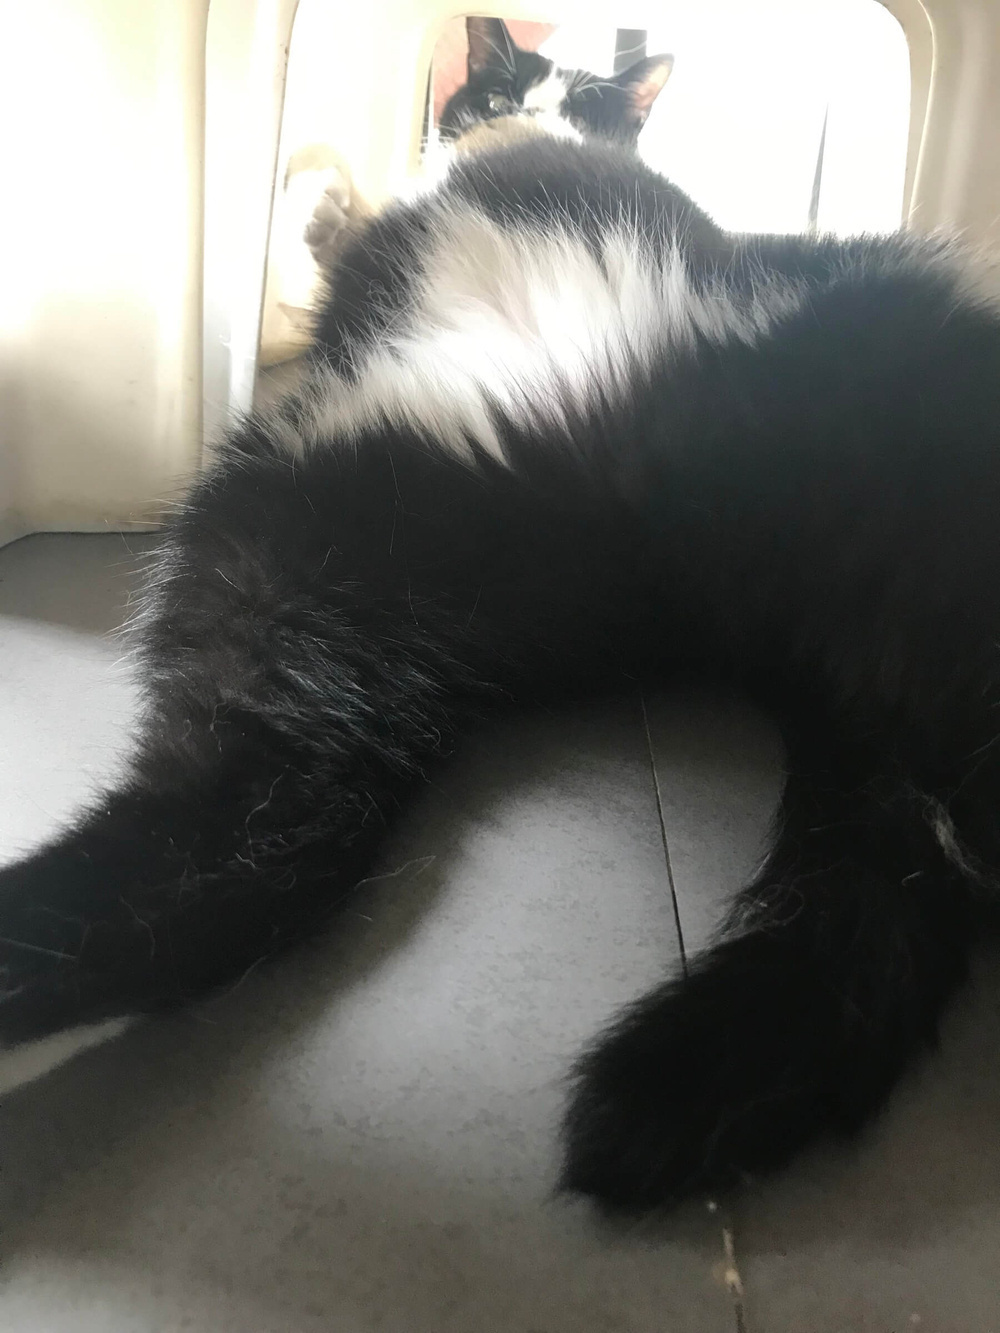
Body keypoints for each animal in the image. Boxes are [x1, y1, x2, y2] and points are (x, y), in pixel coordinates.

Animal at [1, 12, 1000, 1221]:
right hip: (311, 564)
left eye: (576, 98)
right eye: (506, 82)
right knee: (234, 853)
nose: (524, 113)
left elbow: (348, 209)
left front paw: (314, 186)